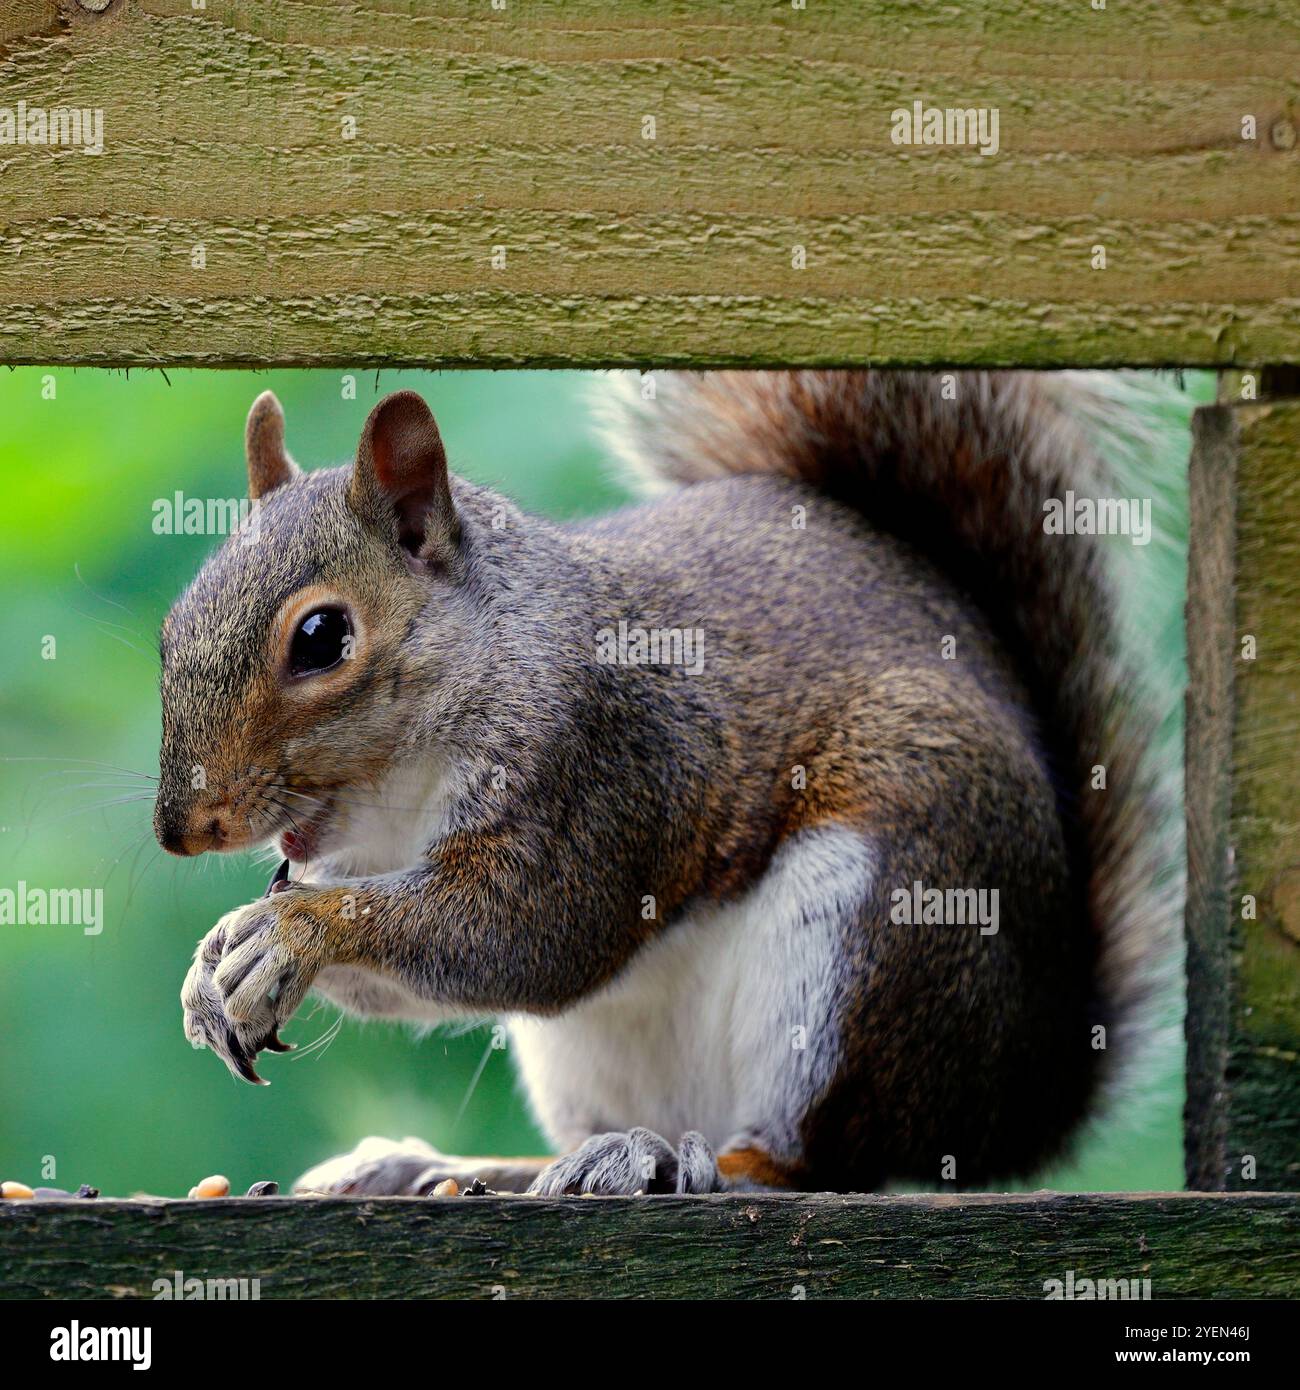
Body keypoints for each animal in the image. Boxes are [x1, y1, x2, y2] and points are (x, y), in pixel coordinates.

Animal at [155, 369, 1179, 1195]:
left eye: (322, 638)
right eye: (173, 627)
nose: (180, 831)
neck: (398, 796)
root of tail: (1025, 1092)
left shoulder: (605, 761)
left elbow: (528, 938)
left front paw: (292, 932)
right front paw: (213, 962)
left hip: (876, 929)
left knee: (818, 1162)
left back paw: (678, 1162)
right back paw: (456, 1164)